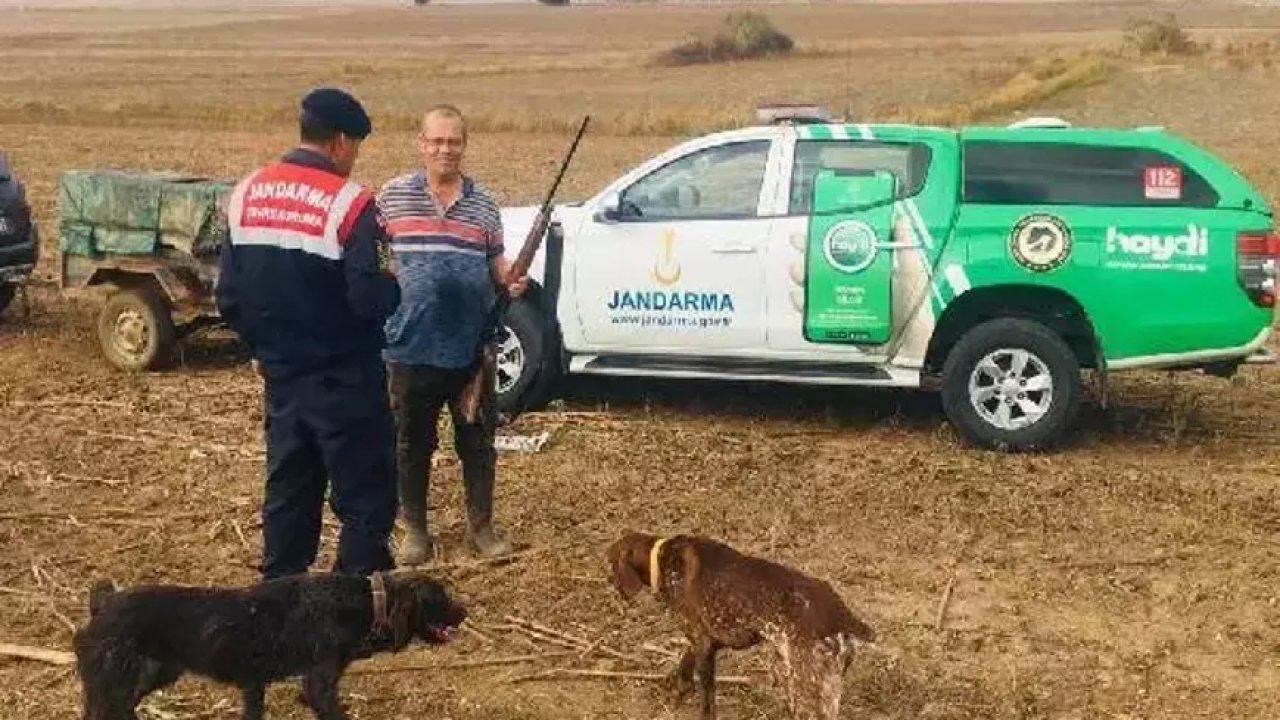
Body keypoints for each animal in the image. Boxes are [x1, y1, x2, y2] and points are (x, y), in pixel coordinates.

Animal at [74, 571, 468, 717]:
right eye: (442, 597)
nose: (466, 610)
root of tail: (102, 604)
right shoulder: (319, 682)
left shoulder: (255, 684)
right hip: (116, 685)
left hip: (149, 676)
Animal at [606, 530, 870, 712]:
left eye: (610, 562)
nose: (610, 582)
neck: (664, 560)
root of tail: (842, 616)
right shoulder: (705, 639)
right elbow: (685, 663)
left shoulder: (703, 645)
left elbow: (707, 703)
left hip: (801, 683)